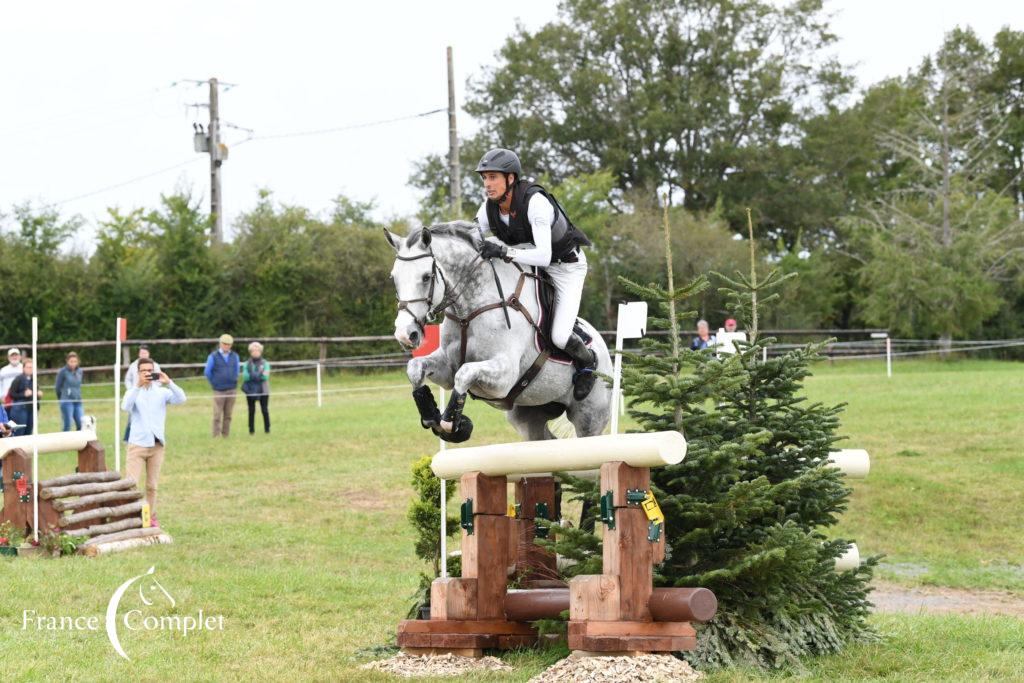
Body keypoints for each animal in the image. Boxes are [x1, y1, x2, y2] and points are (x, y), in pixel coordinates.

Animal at [382, 220, 606, 444]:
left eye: (426, 277)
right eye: (394, 278)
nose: (405, 334)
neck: (468, 312)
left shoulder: (504, 375)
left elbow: (464, 374)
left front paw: (452, 425)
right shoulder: (447, 368)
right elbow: (415, 367)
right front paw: (431, 416)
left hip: (588, 420)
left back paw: (587, 376)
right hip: (528, 417)